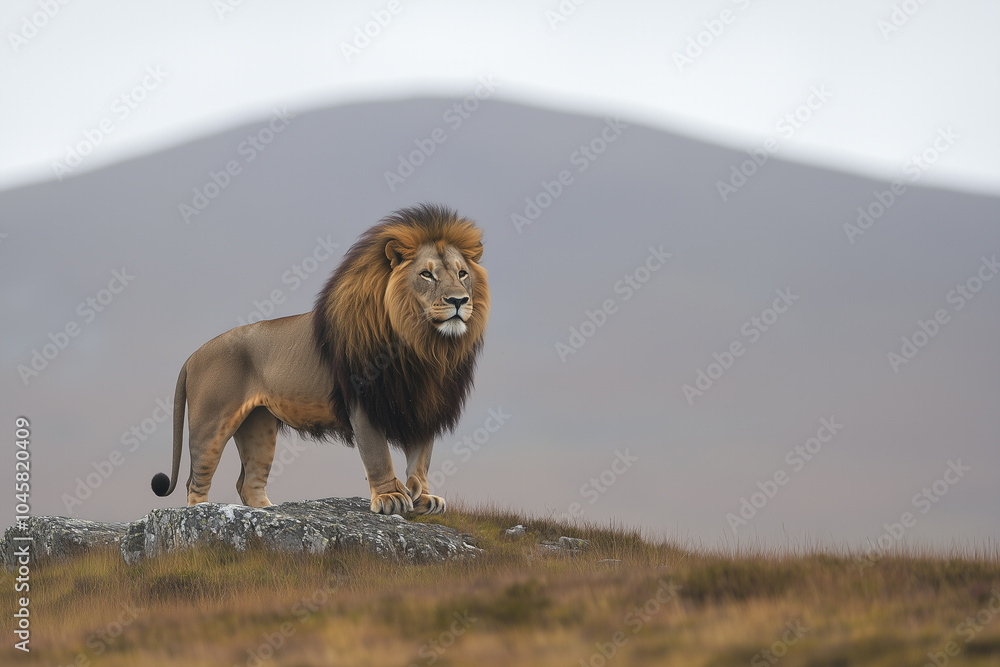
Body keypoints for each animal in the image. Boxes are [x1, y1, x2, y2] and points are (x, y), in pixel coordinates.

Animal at [150, 204, 489, 515]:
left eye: (462, 274)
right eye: (427, 274)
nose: (459, 300)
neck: (424, 346)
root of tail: (193, 355)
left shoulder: (424, 403)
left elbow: (421, 459)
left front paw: (423, 498)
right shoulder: (363, 400)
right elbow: (378, 455)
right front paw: (390, 497)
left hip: (258, 425)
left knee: (248, 482)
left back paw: (270, 514)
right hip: (211, 423)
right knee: (195, 481)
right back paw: (203, 514)